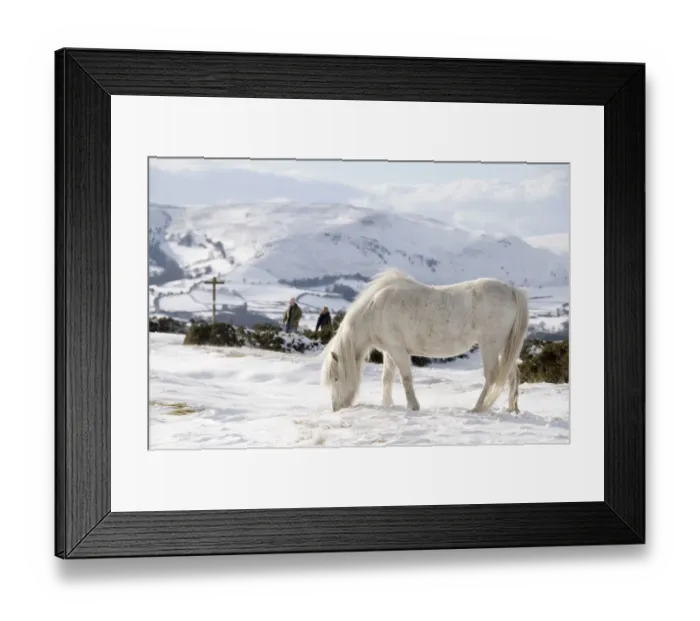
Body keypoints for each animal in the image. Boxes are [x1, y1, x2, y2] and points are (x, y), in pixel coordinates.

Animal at [320, 269, 529, 414]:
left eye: (336, 378)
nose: (336, 407)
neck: (375, 311)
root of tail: (511, 290)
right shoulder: (389, 351)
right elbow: (387, 377)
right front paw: (387, 404)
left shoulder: (398, 350)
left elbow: (405, 378)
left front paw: (413, 406)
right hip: (505, 346)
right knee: (512, 374)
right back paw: (512, 408)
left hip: (490, 345)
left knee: (492, 375)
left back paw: (477, 407)